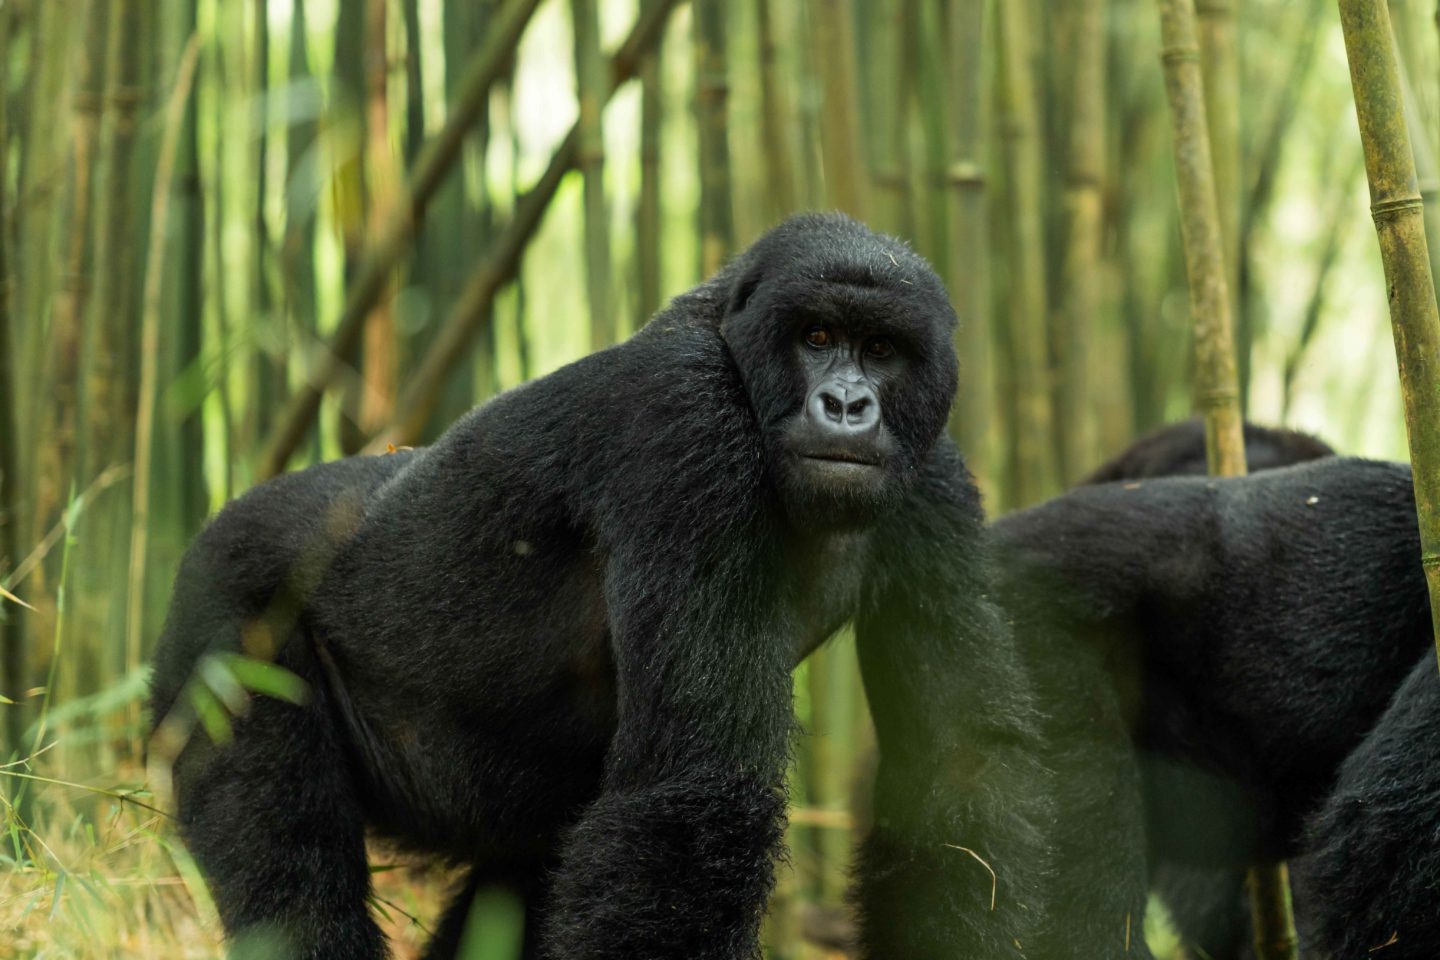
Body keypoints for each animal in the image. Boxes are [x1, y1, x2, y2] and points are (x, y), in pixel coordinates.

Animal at [154, 215, 1146, 960]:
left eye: (882, 349)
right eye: (817, 337)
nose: (847, 406)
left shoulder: (935, 474)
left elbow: (959, 773)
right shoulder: (685, 422)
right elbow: (696, 799)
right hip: (223, 617)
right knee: (289, 872)